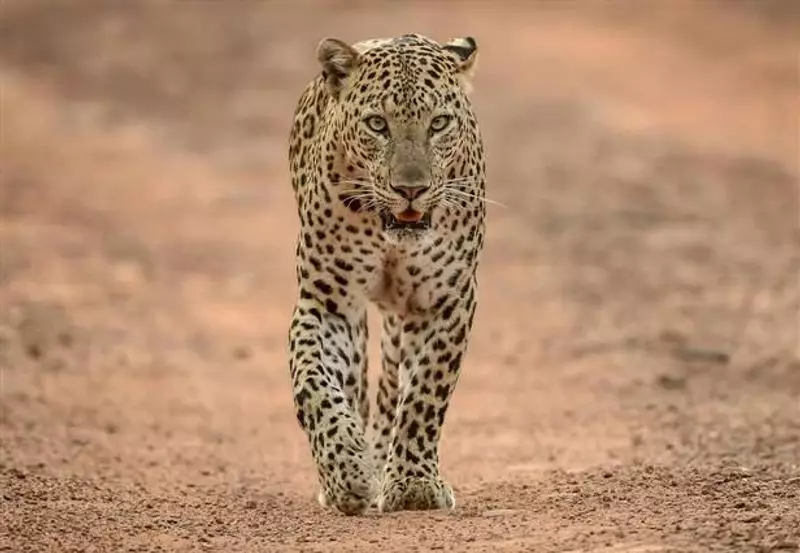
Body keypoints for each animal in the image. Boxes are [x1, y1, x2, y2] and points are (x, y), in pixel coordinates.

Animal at [286, 32, 486, 516]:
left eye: (439, 123)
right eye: (378, 124)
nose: (410, 189)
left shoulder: (446, 302)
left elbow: (425, 393)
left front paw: (413, 484)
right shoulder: (328, 303)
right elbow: (314, 385)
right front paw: (347, 472)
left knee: (394, 385)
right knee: (356, 384)